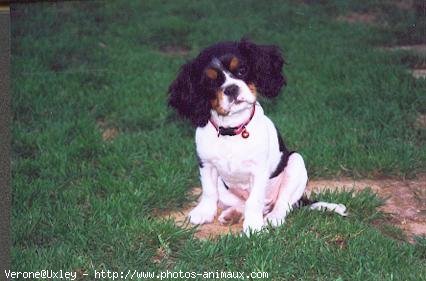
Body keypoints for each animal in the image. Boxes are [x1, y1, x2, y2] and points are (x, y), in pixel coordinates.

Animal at [166, 38, 346, 233]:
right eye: (210, 81)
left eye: (242, 70)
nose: (231, 89)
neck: (232, 130)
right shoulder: (206, 164)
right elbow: (208, 191)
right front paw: (204, 212)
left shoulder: (259, 170)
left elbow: (254, 200)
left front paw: (253, 227)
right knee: (240, 203)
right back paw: (231, 214)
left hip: (296, 163)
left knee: (283, 204)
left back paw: (273, 217)